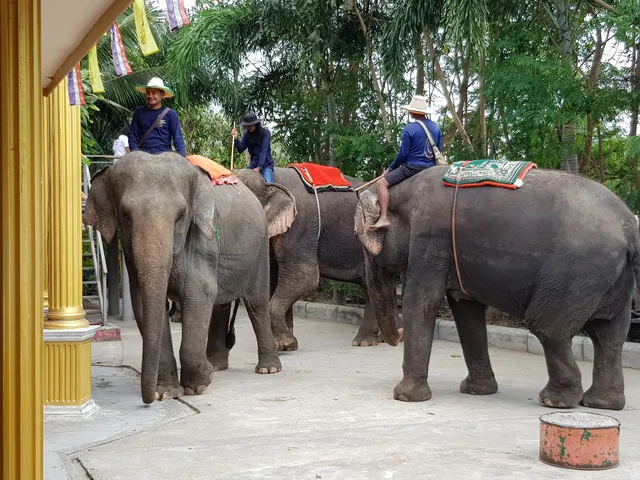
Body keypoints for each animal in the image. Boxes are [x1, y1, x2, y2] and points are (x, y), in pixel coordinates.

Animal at [83, 151, 282, 404]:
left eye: (180, 216)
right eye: (126, 217)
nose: (147, 400)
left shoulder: (202, 239)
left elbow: (199, 294)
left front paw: (199, 385)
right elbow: (143, 304)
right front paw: (166, 392)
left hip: (260, 248)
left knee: (256, 304)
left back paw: (268, 369)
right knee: (221, 304)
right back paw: (217, 365)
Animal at [233, 167, 401, 351]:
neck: (269, 181)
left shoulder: (300, 225)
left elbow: (304, 277)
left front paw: (284, 343)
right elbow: (272, 279)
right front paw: (286, 345)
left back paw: (367, 341)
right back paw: (386, 337)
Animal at [355, 165, 639, 411]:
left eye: (358, 236)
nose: (399, 333)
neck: (400, 191)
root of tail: (628, 226)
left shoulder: (430, 236)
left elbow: (423, 299)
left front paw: (405, 396)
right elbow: (466, 309)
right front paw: (477, 391)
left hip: (576, 271)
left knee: (547, 327)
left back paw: (555, 401)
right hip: (612, 280)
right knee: (610, 334)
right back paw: (602, 403)